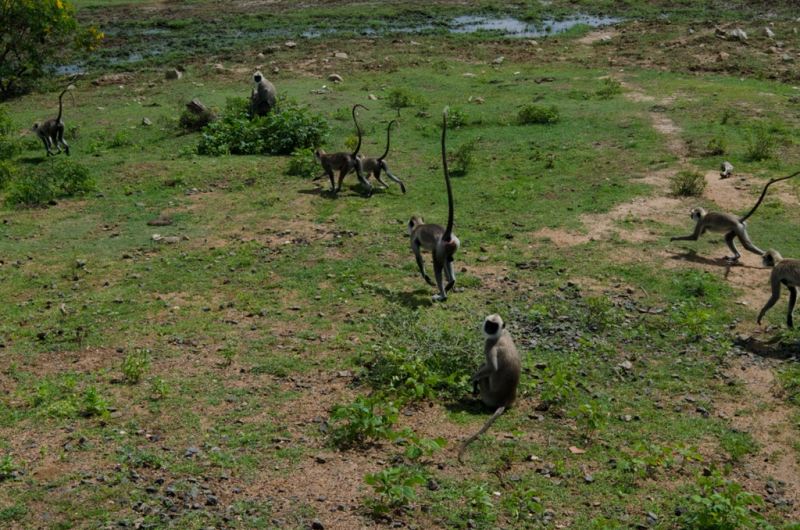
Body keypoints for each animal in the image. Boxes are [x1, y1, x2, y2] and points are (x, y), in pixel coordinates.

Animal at [410, 108, 460, 296]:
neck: (418, 225)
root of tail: (446, 235)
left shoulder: (413, 237)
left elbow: (418, 256)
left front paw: (426, 278)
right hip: (450, 247)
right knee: (447, 261)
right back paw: (450, 283)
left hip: (439, 249)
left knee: (437, 263)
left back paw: (442, 295)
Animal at [456, 314, 524, 462]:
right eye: (489, 324)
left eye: (493, 326)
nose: (489, 329)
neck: (499, 335)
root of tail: (504, 400)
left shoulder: (489, 344)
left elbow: (492, 368)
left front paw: (471, 379)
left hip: (487, 395)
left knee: (484, 371)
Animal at [668, 169, 800, 260]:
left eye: (693, 214)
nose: (690, 216)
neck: (704, 216)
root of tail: (738, 220)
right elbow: (702, 233)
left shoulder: (701, 222)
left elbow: (695, 237)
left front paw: (674, 239)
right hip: (736, 229)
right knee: (728, 238)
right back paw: (736, 257)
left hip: (738, 228)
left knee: (747, 246)